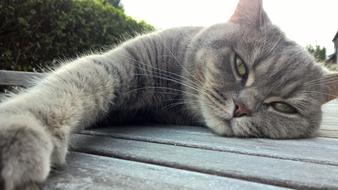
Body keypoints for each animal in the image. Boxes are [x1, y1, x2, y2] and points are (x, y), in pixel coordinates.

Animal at [0, 0, 338, 189]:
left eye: (283, 107)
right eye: (240, 66)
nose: (241, 108)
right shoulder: (121, 63)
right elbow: (73, 85)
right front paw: (18, 130)